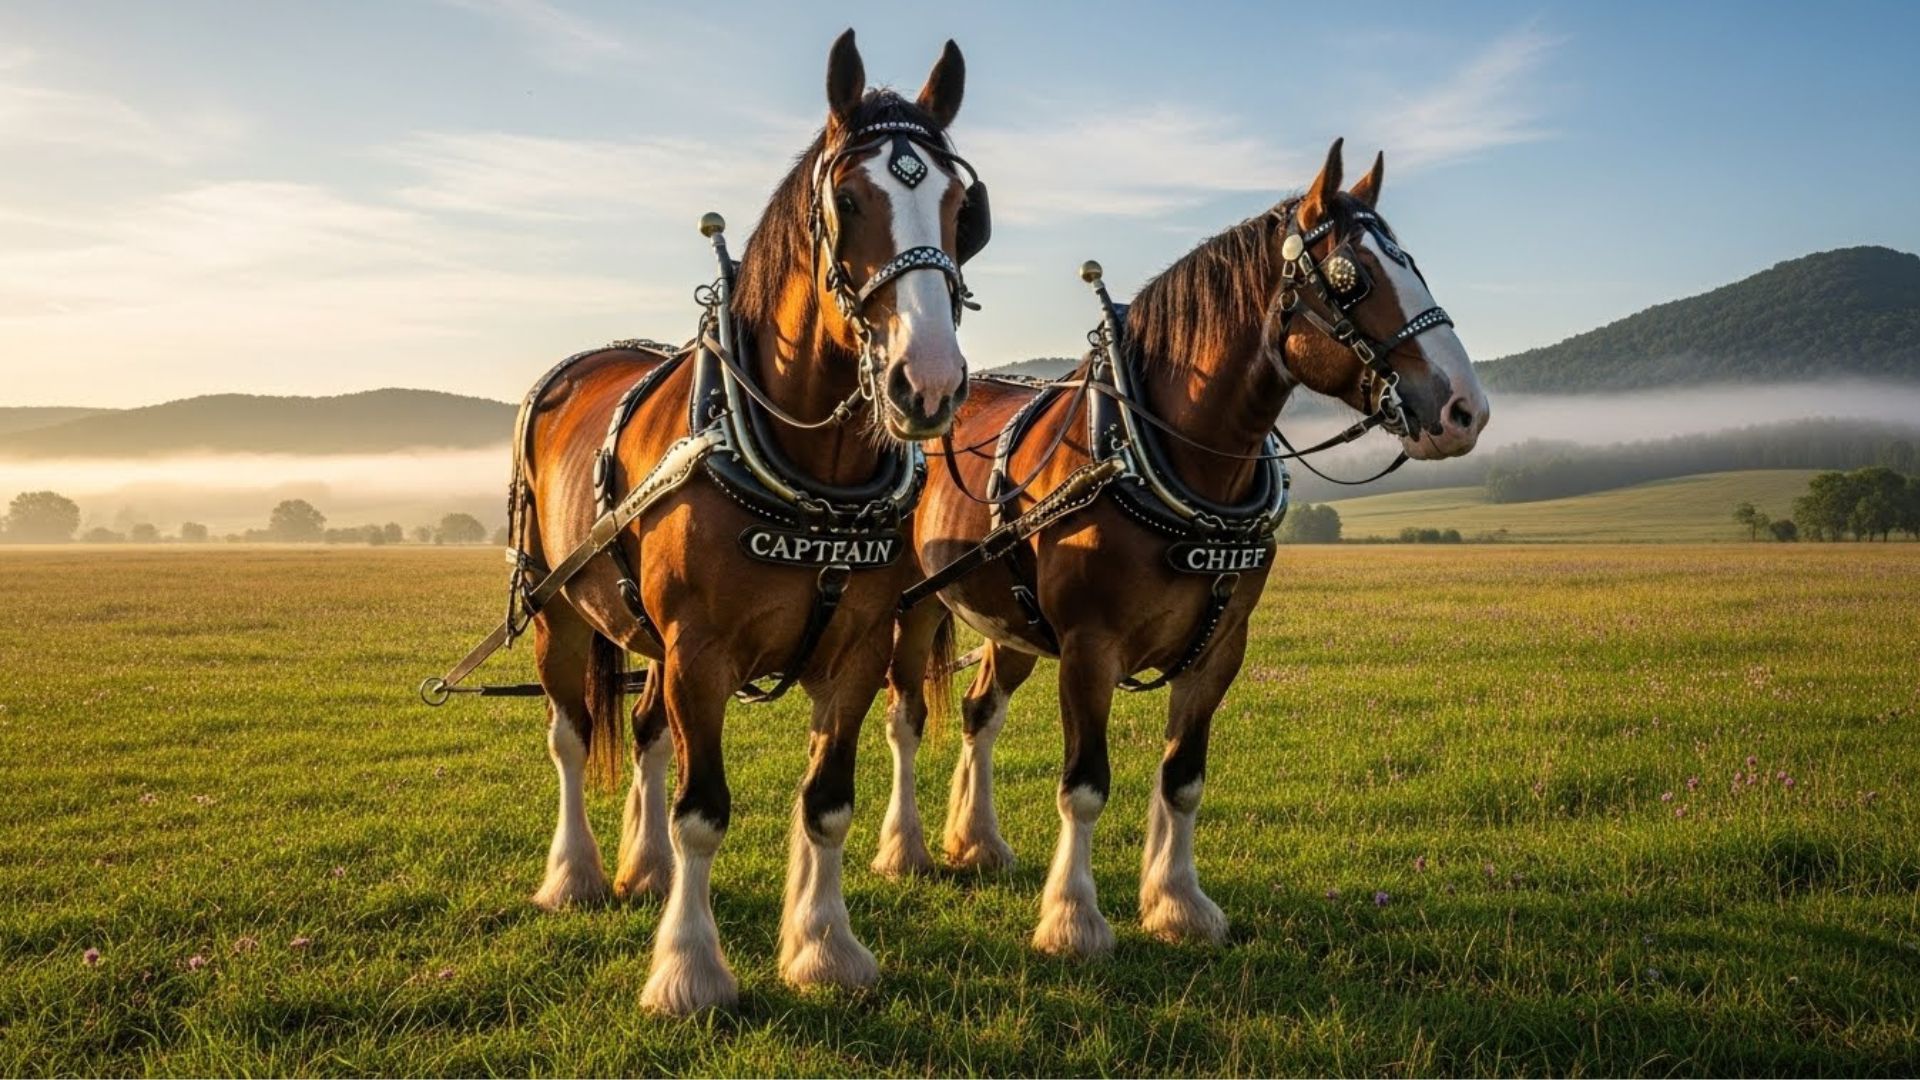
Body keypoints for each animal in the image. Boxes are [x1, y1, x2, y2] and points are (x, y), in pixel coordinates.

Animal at [509, 30, 986, 1015]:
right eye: (848, 200)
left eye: (962, 209)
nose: (927, 382)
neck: (811, 472)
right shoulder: (700, 651)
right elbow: (704, 811)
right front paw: (689, 970)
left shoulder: (856, 646)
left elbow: (826, 802)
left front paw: (824, 947)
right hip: (557, 610)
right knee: (571, 735)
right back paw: (575, 876)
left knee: (645, 730)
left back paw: (644, 870)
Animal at [877, 139, 1490, 957]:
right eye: (1349, 279)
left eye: (1414, 265)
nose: (1464, 409)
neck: (1160, 455)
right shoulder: (1087, 647)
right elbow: (1085, 785)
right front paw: (1073, 920)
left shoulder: (1220, 647)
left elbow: (1183, 778)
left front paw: (1177, 904)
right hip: (910, 605)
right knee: (907, 715)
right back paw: (904, 849)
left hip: (1009, 614)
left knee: (980, 713)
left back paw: (977, 842)